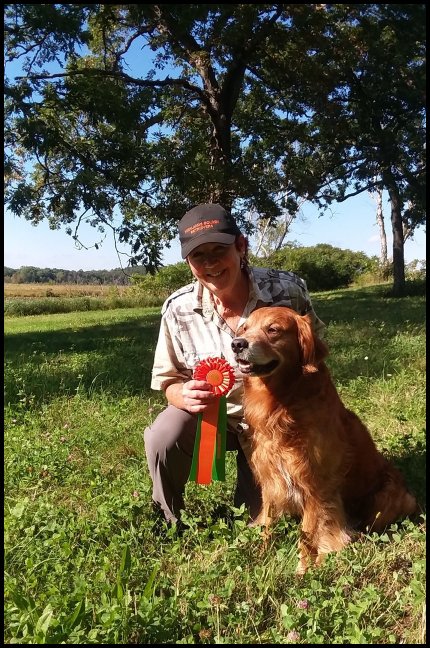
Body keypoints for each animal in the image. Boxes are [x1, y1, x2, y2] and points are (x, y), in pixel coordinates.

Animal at [232, 306, 416, 576]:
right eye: (244, 329)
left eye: (273, 329)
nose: (237, 344)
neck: (283, 404)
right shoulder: (271, 477)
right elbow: (268, 524)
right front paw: (261, 555)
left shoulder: (315, 484)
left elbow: (307, 533)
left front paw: (303, 569)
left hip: (386, 495)